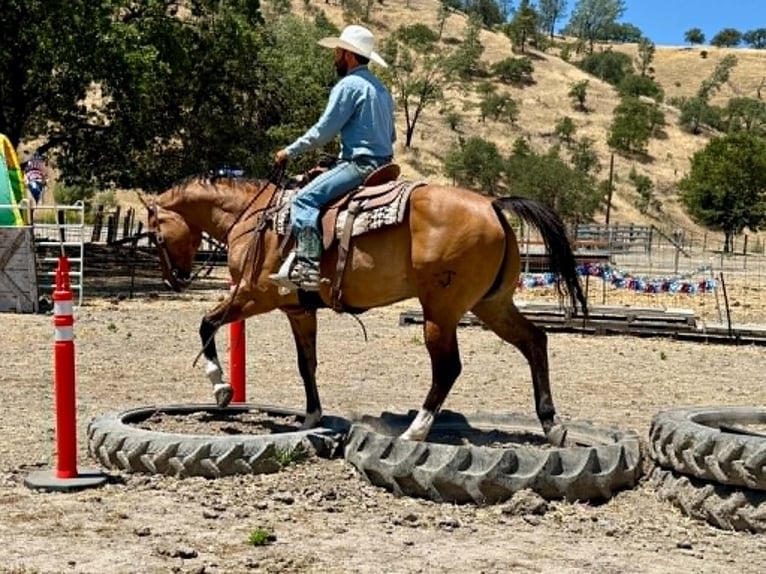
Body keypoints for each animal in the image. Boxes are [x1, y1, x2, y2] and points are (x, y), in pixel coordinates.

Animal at [140, 170, 587, 445]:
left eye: (155, 235)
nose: (175, 279)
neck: (255, 218)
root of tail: (493, 206)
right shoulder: (298, 311)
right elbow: (306, 364)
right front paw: (311, 417)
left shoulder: (254, 295)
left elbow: (206, 324)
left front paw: (221, 388)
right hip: (491, 305)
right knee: (535, 341)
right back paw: (552, 426)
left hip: (440, 312)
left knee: (448, 368)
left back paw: (416, 431)